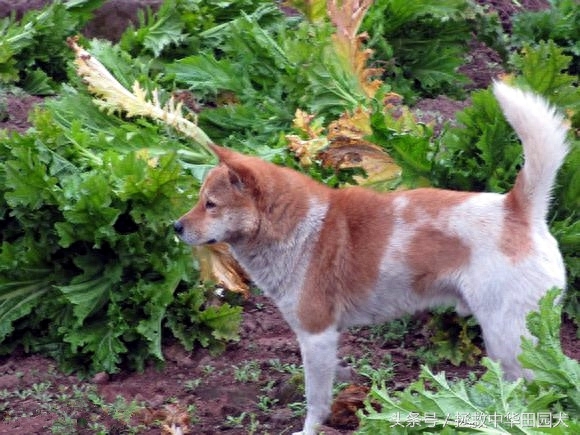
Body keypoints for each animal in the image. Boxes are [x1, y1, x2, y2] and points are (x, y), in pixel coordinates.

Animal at [172, 82, 568, 435]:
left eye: (211, 204)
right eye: (200, 200)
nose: (175, 226)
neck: (297, 226)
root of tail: (516, 210)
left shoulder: (315, 335)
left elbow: (315, 399)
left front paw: (310, 429)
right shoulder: (324, 340)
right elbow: (333, 374)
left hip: (507, 339)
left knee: (541, 386)